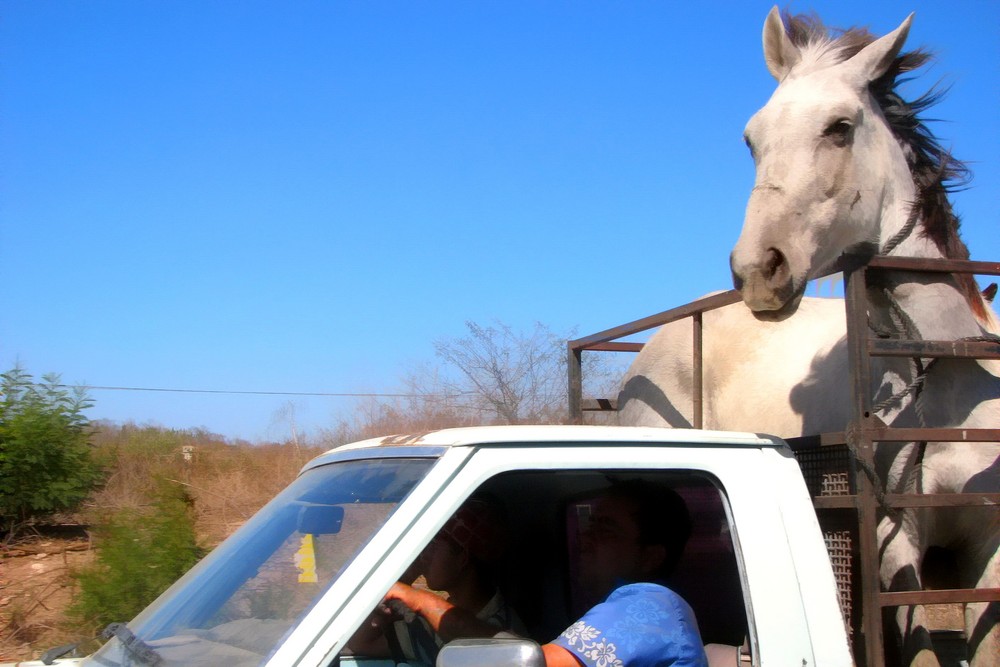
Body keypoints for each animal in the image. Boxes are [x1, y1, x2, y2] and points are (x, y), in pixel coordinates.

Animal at [620, 10, 996, 667]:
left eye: (840, 128)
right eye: (752, 139)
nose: (757, 269)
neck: (944, 372)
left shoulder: (985, 551)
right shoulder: (895, 547)